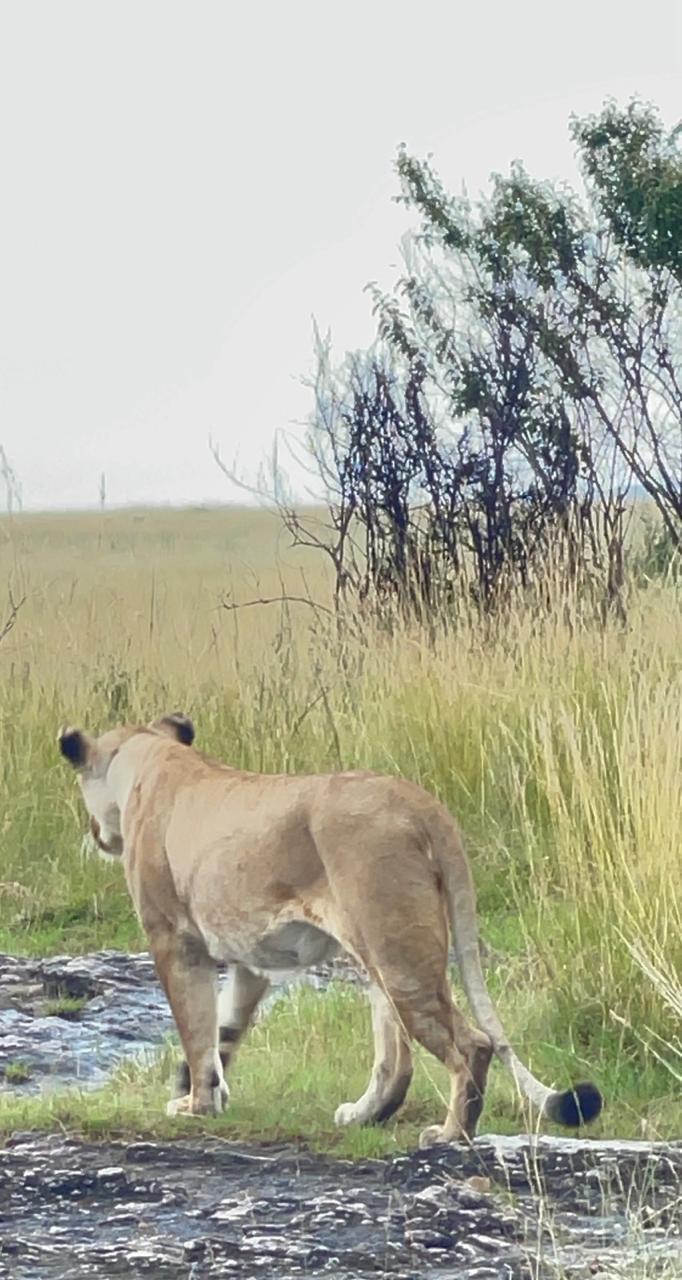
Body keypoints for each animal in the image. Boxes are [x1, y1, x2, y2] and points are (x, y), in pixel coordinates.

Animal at [58, 712, 601, 1145]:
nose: (94, 834)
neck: (148, 756)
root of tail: (423, 804)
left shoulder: (173, 937)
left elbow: (195, 1027)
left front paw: (193, 1105)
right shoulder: (251, 959)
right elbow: (224, 1029)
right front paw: (204, 1093)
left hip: (396, 951)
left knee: (471, 1044)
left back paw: (450, 1133)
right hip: (378, 951)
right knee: (397, 1059)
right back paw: (363, 1116)